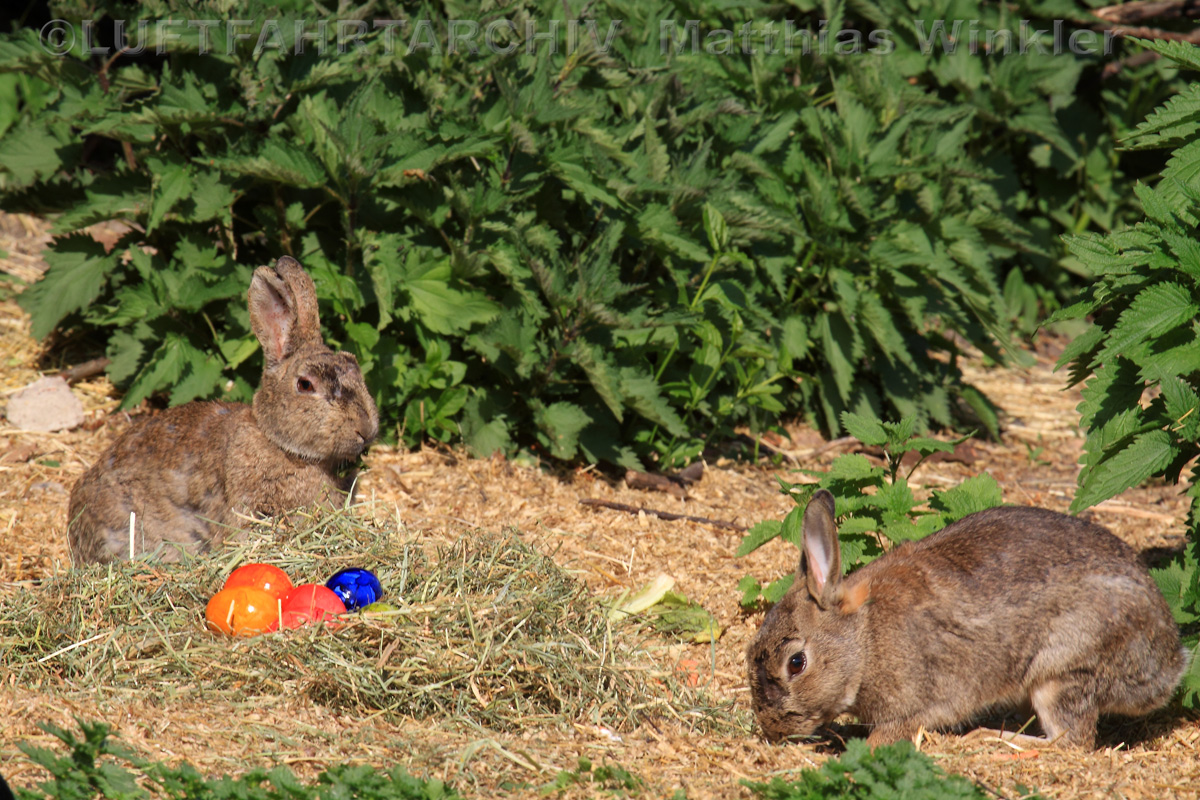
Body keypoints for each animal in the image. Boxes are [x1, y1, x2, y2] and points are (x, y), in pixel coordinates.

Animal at [744, 489, 1185, 753]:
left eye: (796, 663)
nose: (773, 729)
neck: (864, 640)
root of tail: (1168, 666)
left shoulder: (908, 706)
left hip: (1063, 669)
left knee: (1069, 742)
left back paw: (988, 738)